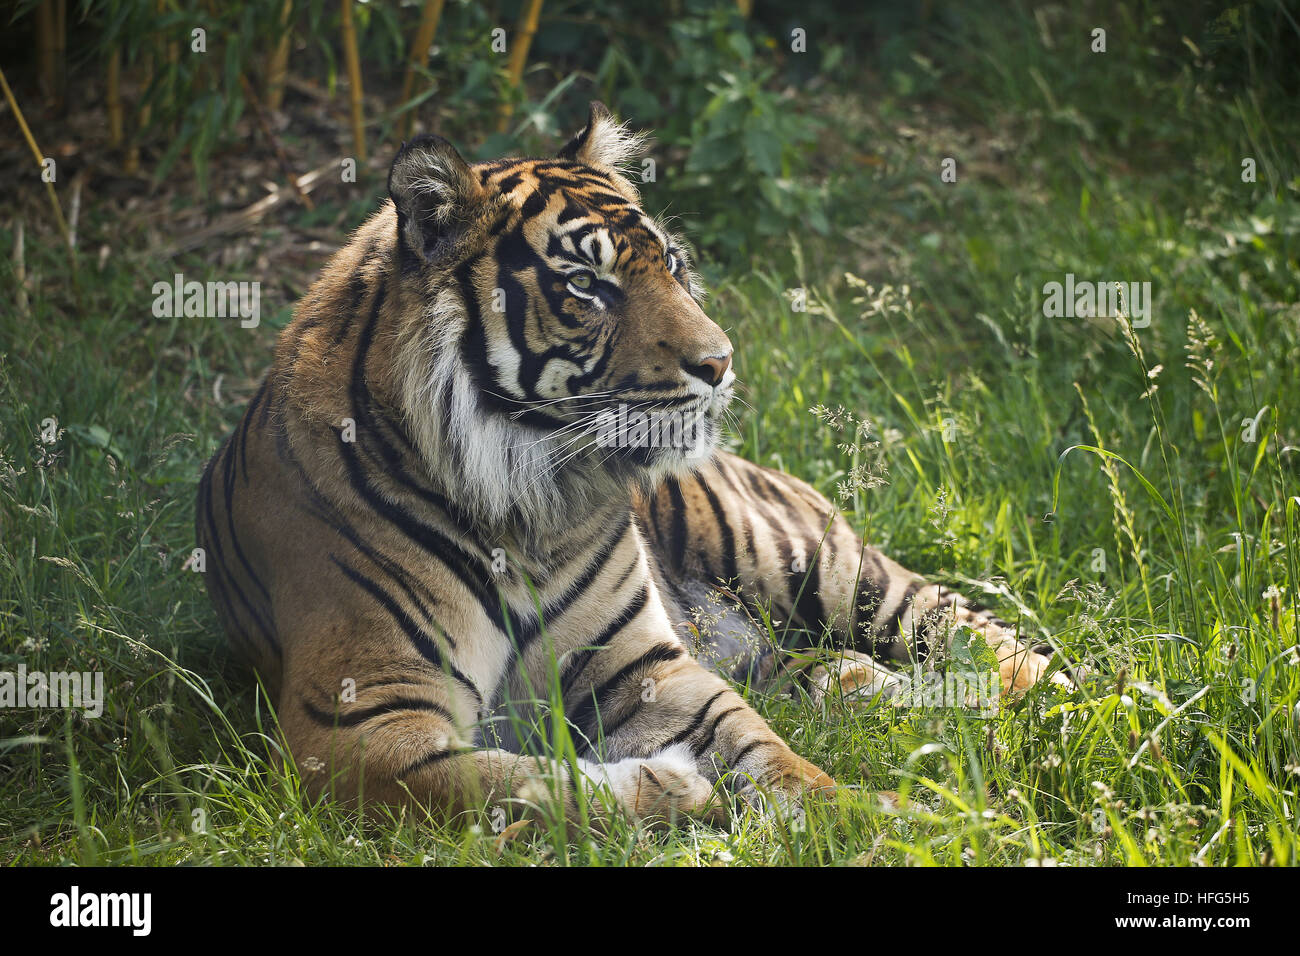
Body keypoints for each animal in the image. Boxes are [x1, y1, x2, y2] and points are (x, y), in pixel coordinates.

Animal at [195, 100, 1066, 827]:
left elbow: (763, 748)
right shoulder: (357, 720)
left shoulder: (637, 663)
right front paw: (670, 785)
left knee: (981, 636)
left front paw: (863, 814)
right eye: (587, 284)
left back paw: (1077, 715)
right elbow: (511, 786)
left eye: (672, 264)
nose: (720, 362)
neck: (528, 496)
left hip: (820, 565)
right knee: (842, 673)